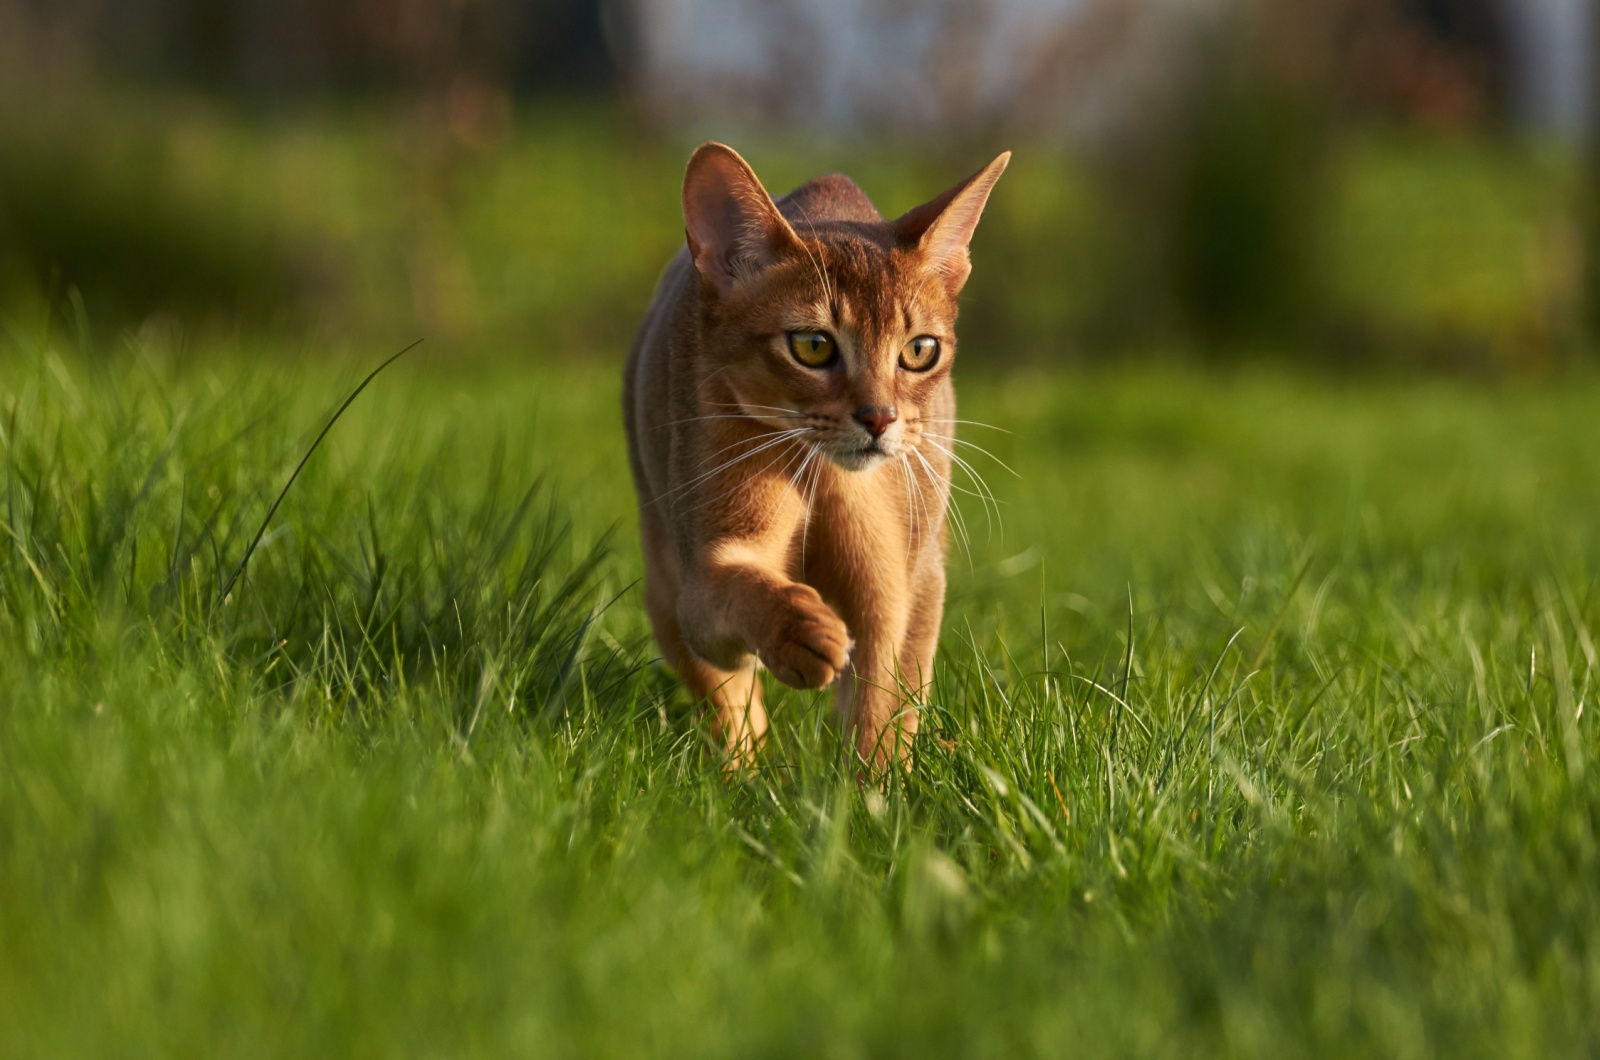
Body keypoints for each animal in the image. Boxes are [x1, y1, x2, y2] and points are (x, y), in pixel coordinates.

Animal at [620, 140, 1004, 771]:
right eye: (813, 346)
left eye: (919, 351)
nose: (878, 418)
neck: (825, 479)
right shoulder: (702, 574)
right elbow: (738, 593)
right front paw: (800, 631)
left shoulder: (900, 588)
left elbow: (882, 710)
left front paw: (869, 790)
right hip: (663, 578)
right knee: (729, 706)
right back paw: (740, 774)